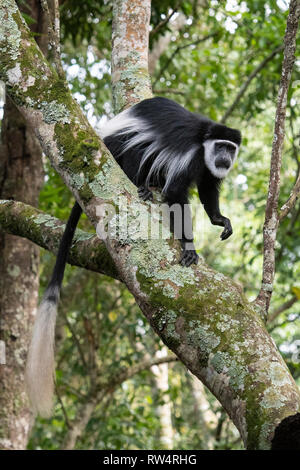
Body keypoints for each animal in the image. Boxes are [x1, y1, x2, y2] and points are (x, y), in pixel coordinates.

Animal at [25, 97, 241, 416]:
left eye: (231, 148)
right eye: (221, 146)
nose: (225, 157)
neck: (205, 146)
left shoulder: (207, 168)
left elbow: (208, 188)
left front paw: (219, 219)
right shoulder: (191, 157)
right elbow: (176, 193)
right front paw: (189, 247)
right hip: (115, 148)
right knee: (137, 148)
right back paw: (141, 185)